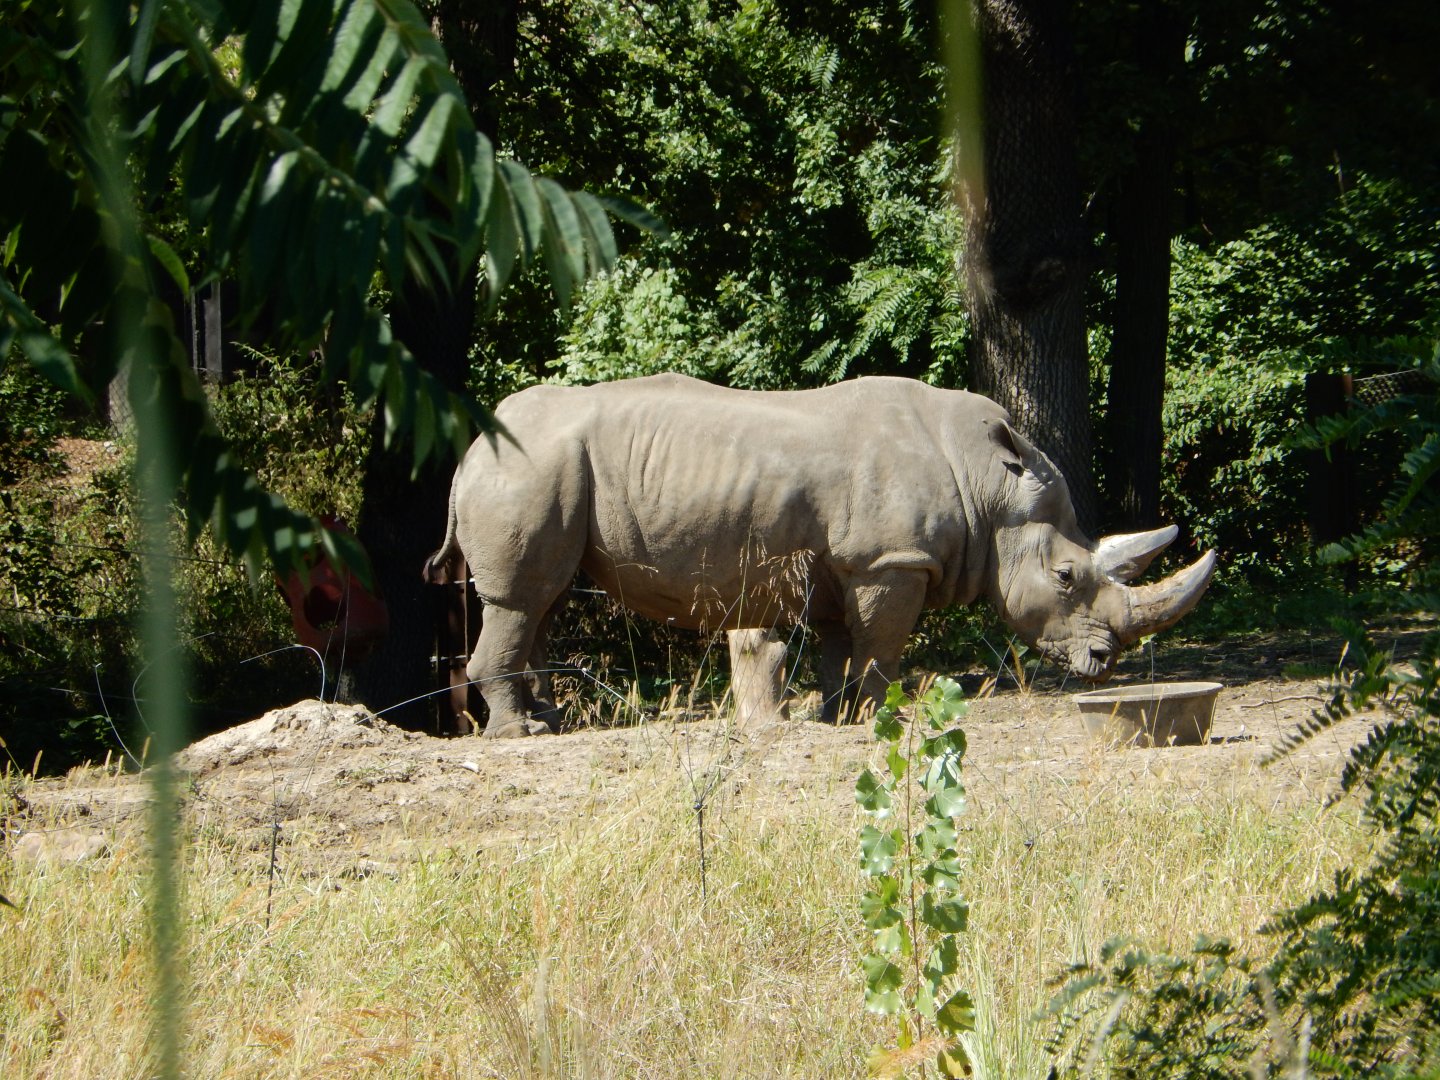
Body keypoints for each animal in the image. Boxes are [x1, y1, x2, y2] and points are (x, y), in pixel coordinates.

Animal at [425, 373, 1216, 737]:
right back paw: (521, 733)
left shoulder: (852, 564)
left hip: (544, 473)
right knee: (521, 600)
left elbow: (841, 643)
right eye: (1066, 576)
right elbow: (883, 642)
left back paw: (549, 721)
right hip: (530, 470)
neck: (989, 486)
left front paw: (837, 715)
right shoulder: (891, 560)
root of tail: (466, 454)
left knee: (544, 600)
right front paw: (881, 715)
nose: (1103, 661)